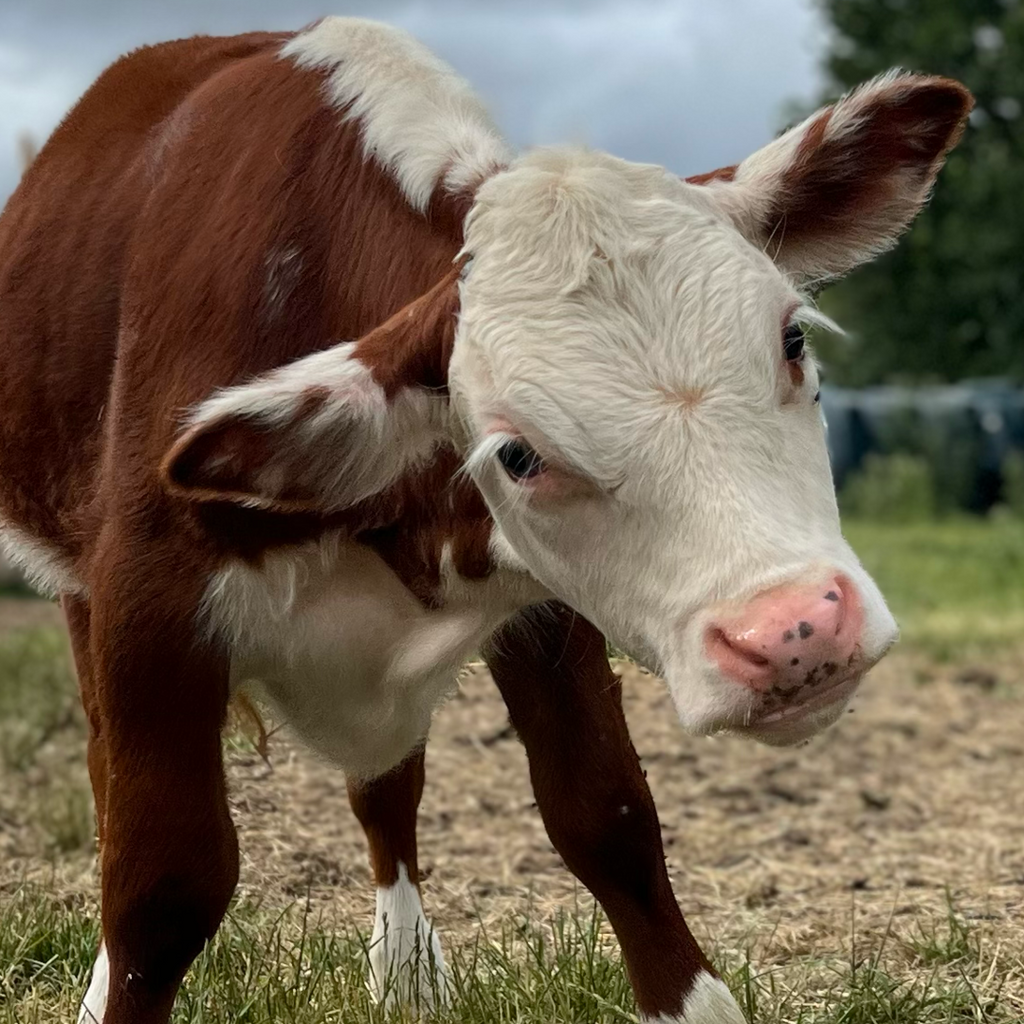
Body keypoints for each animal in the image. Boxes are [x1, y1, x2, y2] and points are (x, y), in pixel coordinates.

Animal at [0, 16, 971, 1024]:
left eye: (791, 338)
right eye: (517, 454)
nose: (796, 632)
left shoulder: (549, 612)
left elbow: (609, 819)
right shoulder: (148, 607)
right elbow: (161, 884)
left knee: (388, 792)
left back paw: (406, 970)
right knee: (108, 776)